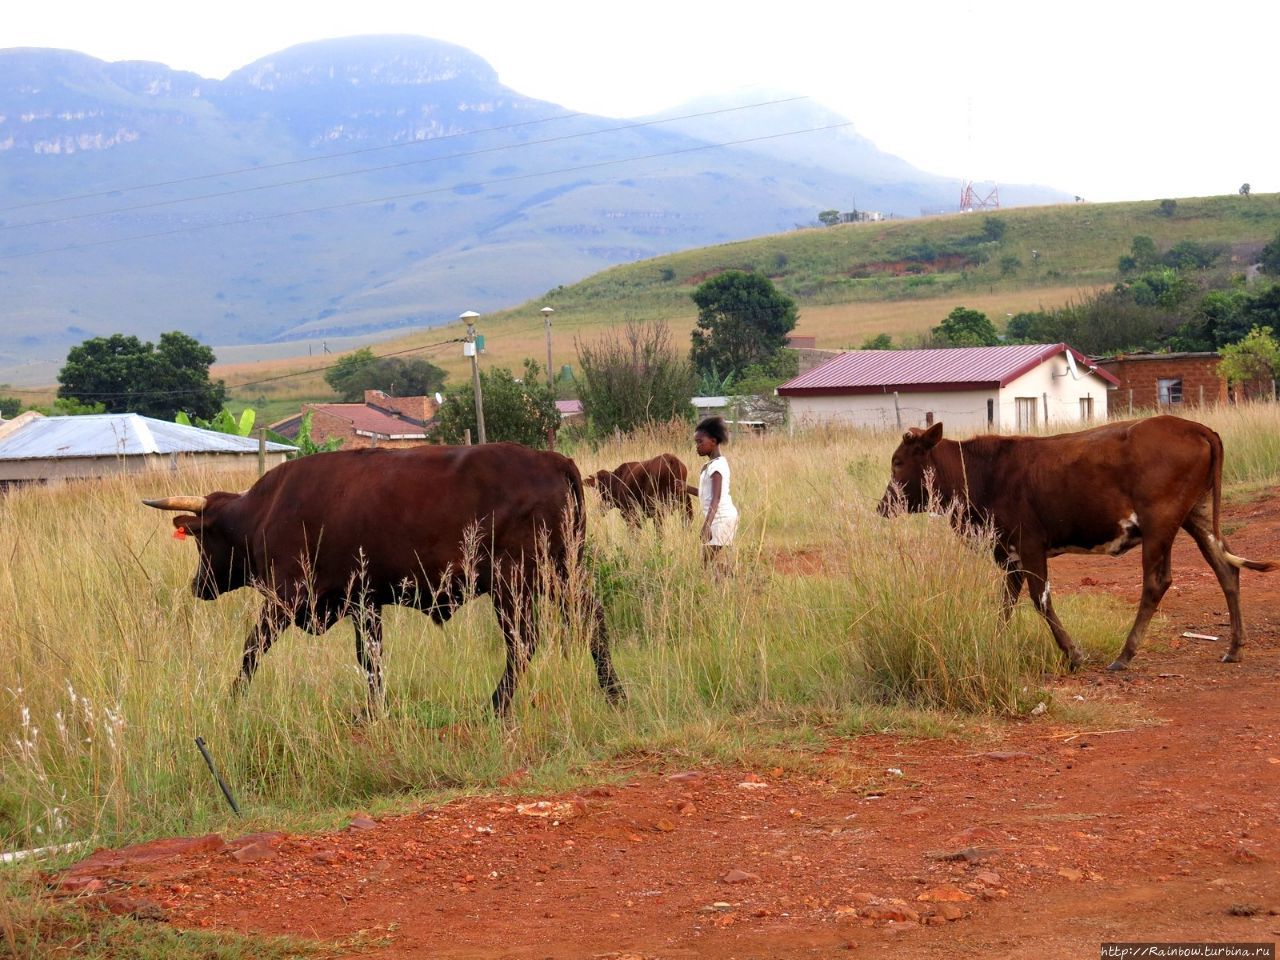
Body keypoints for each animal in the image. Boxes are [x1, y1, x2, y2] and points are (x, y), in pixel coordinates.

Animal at [145, 442, 624, 716]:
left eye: (201, 540)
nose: (198, 586)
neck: (264, 511)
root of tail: (550, 458)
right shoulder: (364, 602)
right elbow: (370, 659)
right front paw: (376, 709)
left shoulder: (286, 599)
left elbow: (251, 650)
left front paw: (232, 700)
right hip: (564, 574)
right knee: (594, 623)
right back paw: (614, 694)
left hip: (515, 582)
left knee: (523, 642)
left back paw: (497, 706)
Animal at [875, 417, 1274, 670]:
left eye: (897, 462)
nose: (882, 506)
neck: (983, 471)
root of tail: (1196, 427)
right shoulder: (1008, 553)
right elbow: (1005, 603)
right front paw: (994, 641)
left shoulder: (1029, 545)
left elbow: (1040, 600)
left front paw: (1073, 654)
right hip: (1197, 515)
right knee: (1226, 570)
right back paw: (1234, 647)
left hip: (1160, 524)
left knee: (1156, 583)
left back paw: (1125, 655)